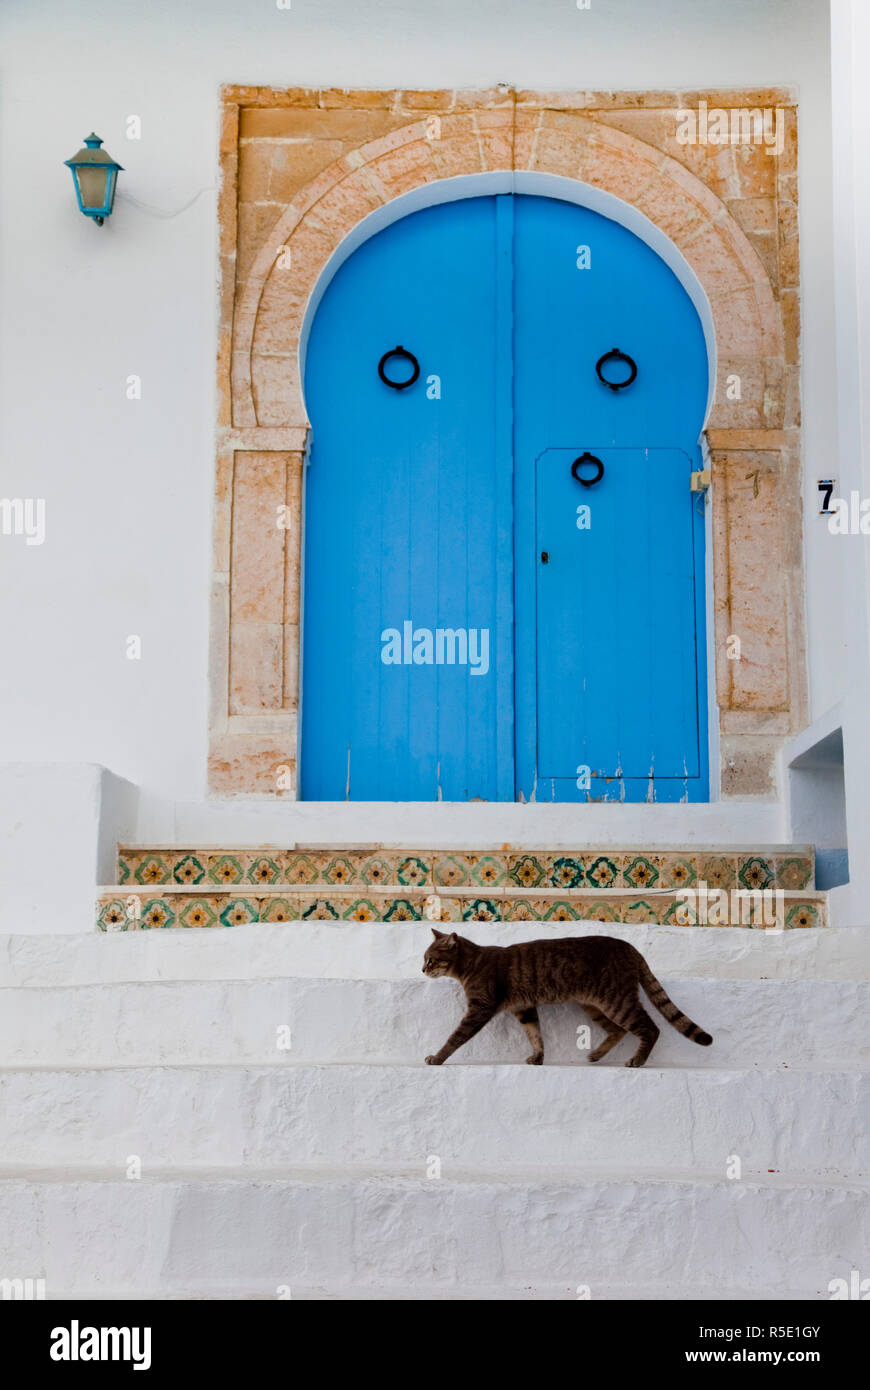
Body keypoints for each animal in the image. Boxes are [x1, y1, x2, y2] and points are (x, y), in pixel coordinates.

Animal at [419, 928, 711, 1067]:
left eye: (430, 959)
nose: (422, 969)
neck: (471, 964)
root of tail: (630, 947)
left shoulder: (479, 1009)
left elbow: (455, 1037)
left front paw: (437, 1057)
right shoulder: (525, 1008)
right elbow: (535, 1035)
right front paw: (538, 1057)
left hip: (616, 1001)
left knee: (651, 1028)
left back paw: (637, 1060)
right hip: (594, 1005)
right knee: (617, 1030)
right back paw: (596, 1055)